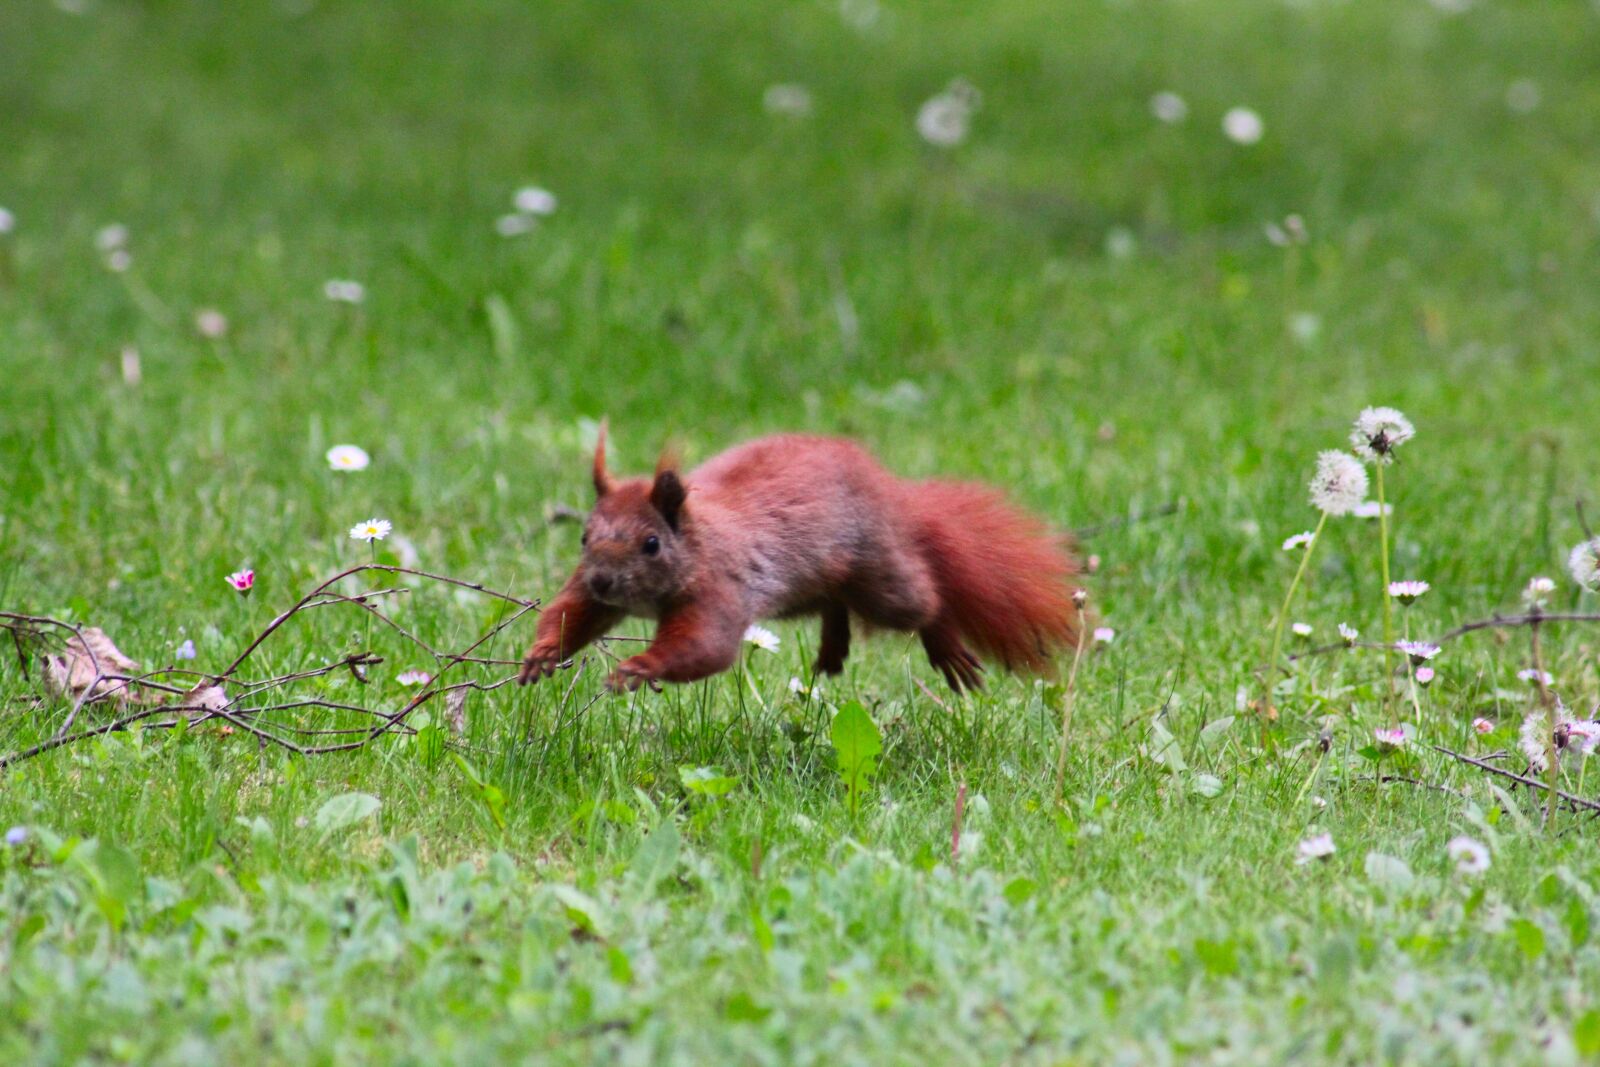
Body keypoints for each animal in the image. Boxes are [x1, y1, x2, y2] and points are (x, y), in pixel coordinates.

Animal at [517, 427, 1086, 694]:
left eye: (652, 544)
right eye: (585, 536)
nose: (603, 580)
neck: (697, 542)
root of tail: (891, 495)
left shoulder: (719, 589)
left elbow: (707, 647)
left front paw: (638, 667)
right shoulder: (594, 597)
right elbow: (573, 613)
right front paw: (541, 653)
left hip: (881, 578)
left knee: (925, 600)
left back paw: (944, 644)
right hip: (807, 589)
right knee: (835, 603)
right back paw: (832, 650)